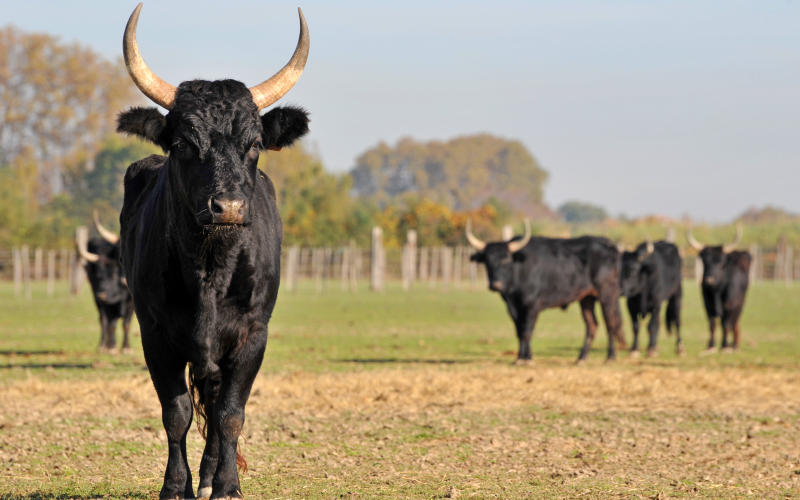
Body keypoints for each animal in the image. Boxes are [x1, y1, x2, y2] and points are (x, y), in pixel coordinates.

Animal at [75, 212, 135, 354]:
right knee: (103, 320)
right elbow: (111, 323)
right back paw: (103, 346)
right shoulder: (107, 303)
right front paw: (112, 347)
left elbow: (126, 324)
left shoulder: (131, 303)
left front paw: (126, 347)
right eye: (98, 276)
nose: (101, 293)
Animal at [115, 4, 310, 499]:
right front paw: (174, 486)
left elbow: (230, 414)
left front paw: (225, 485)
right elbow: (177, 413)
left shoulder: (252, 335)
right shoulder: (154, 334)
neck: (210, 269)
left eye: (254, 144)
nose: (229, 207)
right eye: (183, 144)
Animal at [466, 221, 626, 363]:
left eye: (506, 259)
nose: (496, 285)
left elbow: (527, 331)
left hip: (607, 294)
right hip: (587, 298)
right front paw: (520, 357)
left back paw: (610, 357)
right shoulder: (513, 308)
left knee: (610, 322)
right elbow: (519, 331)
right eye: (487, 261)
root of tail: (608, 244)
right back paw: (581, 358)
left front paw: (527, 359)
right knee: (592, 325)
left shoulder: (532, 305)